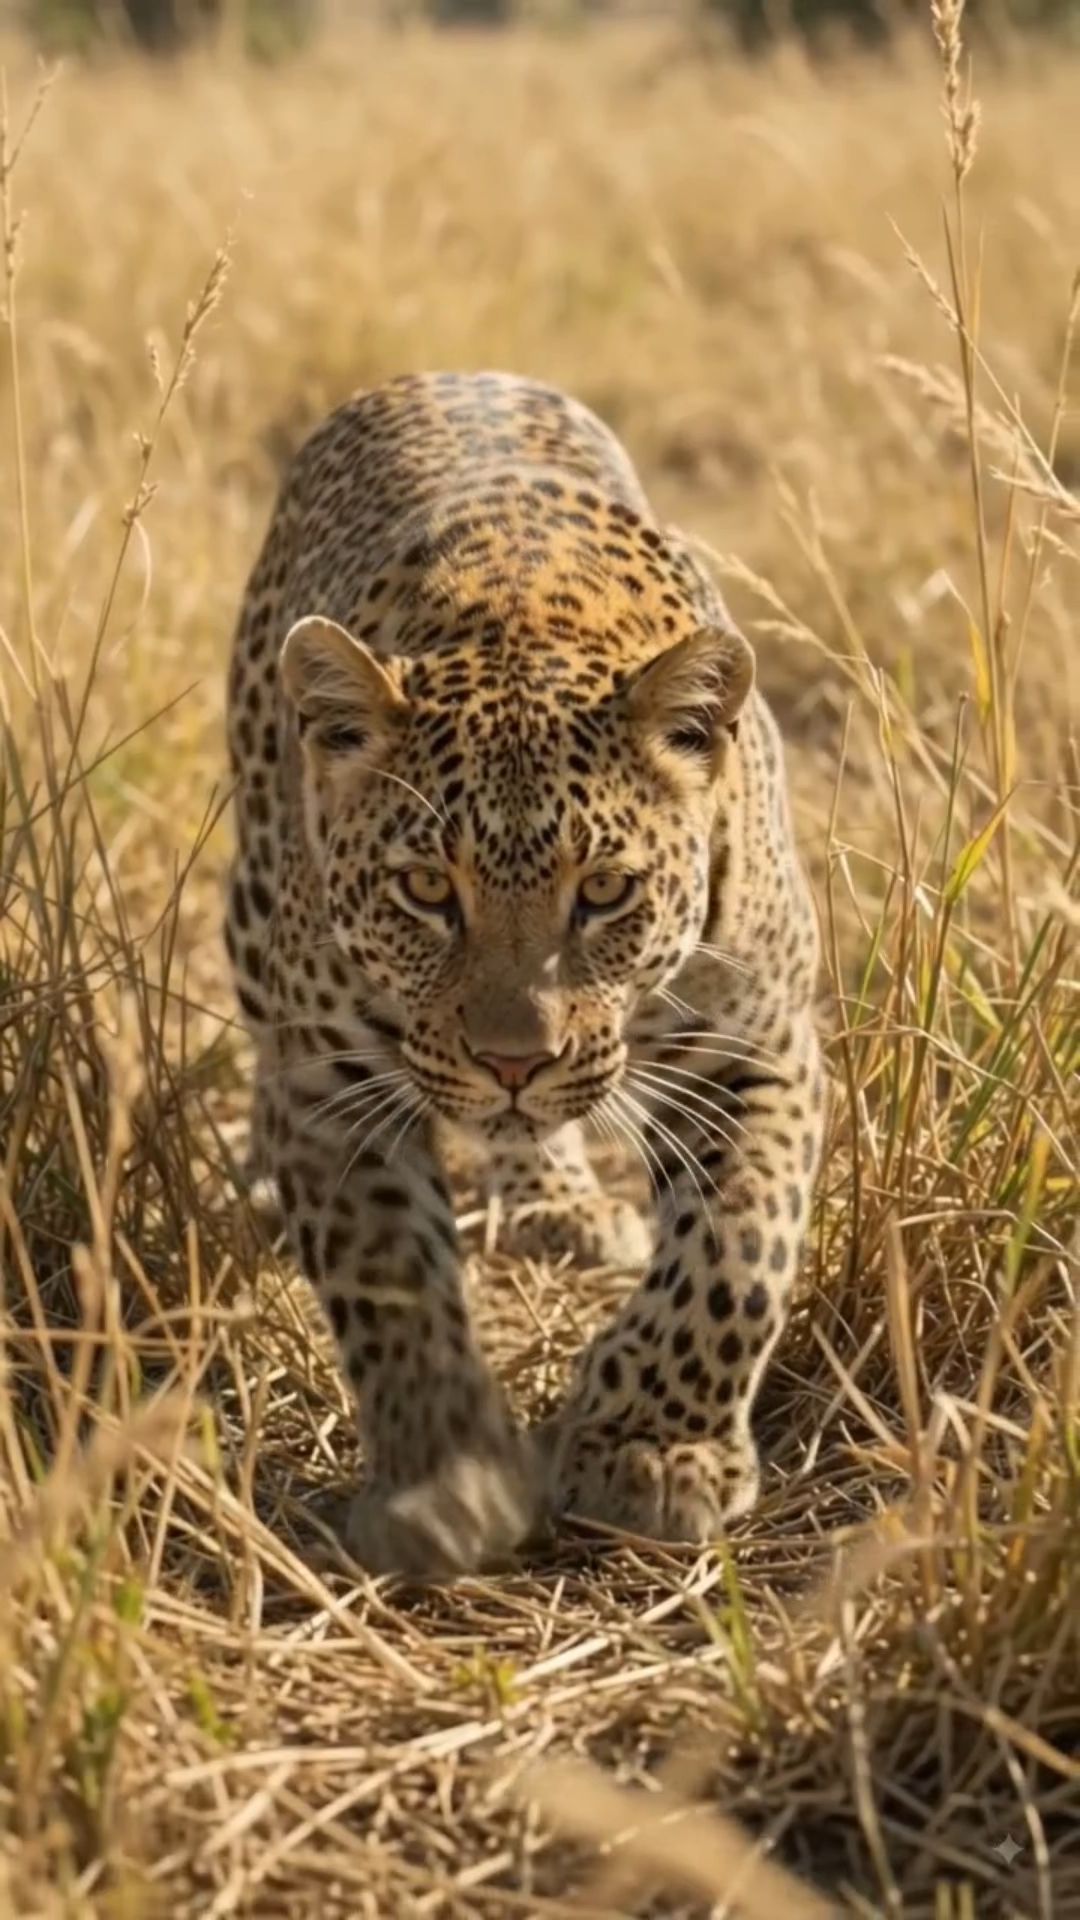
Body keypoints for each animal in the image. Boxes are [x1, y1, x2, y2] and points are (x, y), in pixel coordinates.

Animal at [224, 370, 827, 1578]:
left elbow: (738, 1248)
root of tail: (441, 371)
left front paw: (653, 1450)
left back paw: (556, 1199)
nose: (513, 1062)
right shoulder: (329, 1084)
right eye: (424, 890)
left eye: (603, 892)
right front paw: (443, 1483)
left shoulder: (761, 1045)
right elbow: (390, 1279)